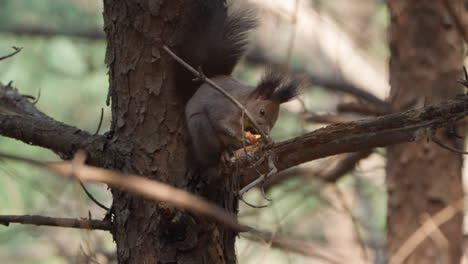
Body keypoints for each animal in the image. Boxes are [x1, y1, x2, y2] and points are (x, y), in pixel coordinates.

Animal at [176, 0, 300, 171]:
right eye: (262, 112)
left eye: (275, 122)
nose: (266, 133)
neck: (244, 103)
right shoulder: (225, 106)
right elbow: (223, 122)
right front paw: (244, 137)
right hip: (200, 129)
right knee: (210, 155)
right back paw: (223, 154)